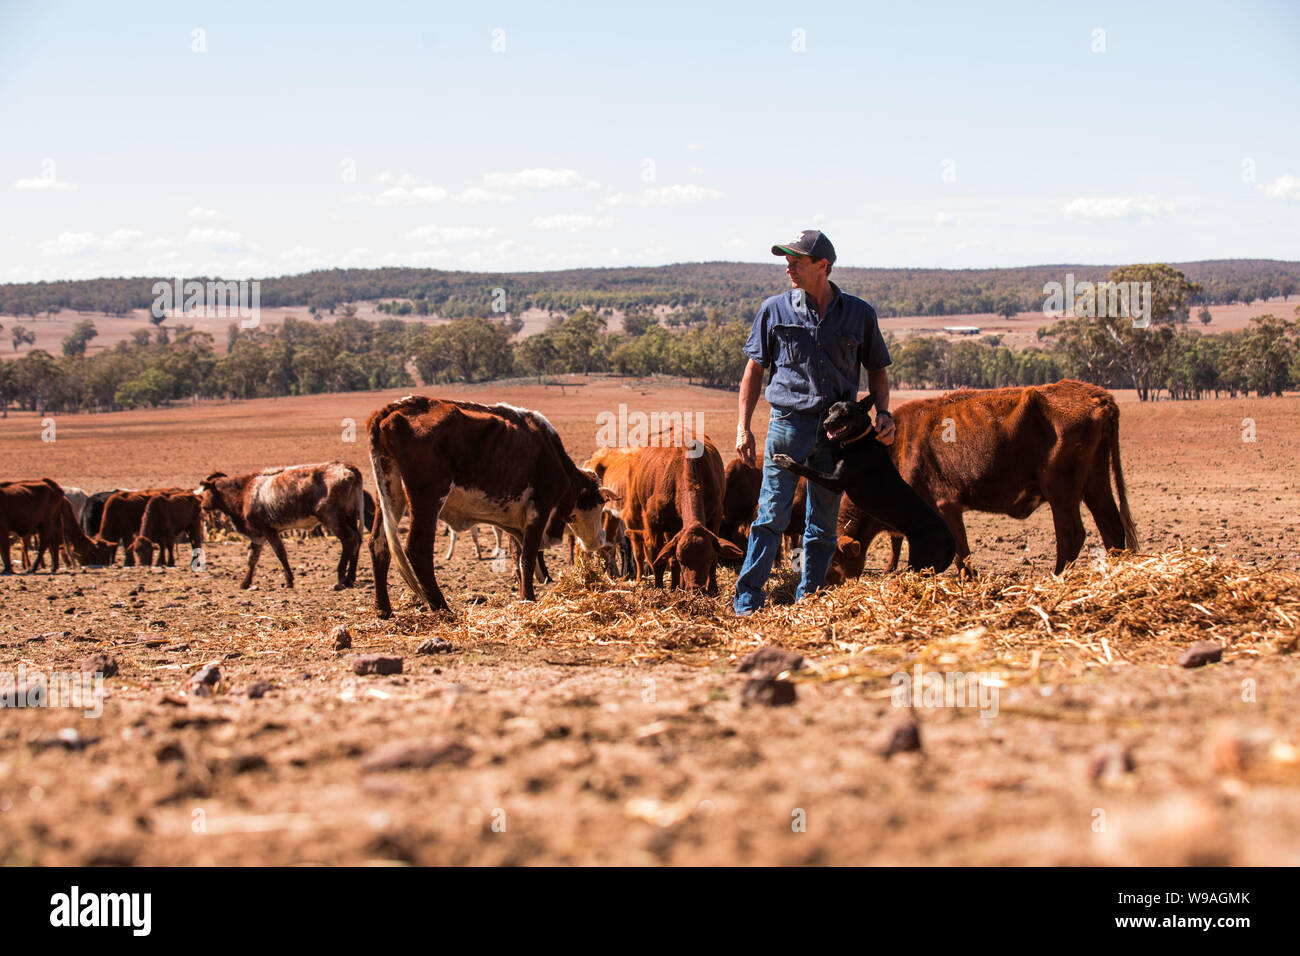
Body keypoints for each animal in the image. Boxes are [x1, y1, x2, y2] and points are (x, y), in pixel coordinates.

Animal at [200, 460, 369, 587]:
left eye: (205, 490)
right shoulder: (258, 536)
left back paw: (341, 577)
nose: (202, 505)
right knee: (357, 540)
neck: (244, 491)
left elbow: (280, 553)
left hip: (332, 519)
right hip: (350, 516)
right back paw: (350, 577)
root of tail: (346, 467)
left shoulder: (268, 530)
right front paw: (245, 583)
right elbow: (252, 558)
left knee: (349, 539)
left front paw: (289, 580)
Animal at [361, 398, 613, 616]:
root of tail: (394, 408)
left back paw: (383, 608)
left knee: (378, 544)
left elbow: (518, 560)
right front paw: (529, 599)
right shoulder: (538, 511)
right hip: (427, 498)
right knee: (417, 548)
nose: (600, 540)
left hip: (390, 495)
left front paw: (523, 596)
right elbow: (528, 559)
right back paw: (442, 608)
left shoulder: (517, 523)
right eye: (599, 504)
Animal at [618, 434, 743, 590]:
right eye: (681, 559)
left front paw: (713, 588)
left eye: (707, 559)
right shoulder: (653, 520)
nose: (695, 588)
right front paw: (659, 588)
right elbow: (658, 557)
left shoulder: (716, 514)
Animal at [821, 382, 1138, 582]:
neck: (894, 447)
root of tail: (1099, 396)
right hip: (1095, 485)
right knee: (1111, 528)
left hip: (1062, 492)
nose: (824, 585)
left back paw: (1056, 576)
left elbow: (961, 552)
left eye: (834, 558)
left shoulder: (944, 506)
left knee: (1071, 534)